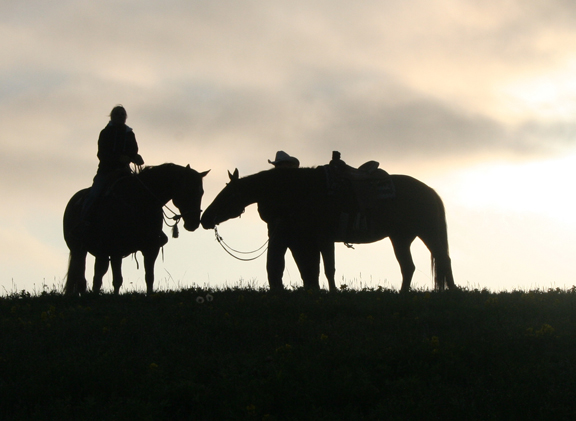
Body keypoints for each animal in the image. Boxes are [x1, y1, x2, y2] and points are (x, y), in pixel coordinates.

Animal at [64, 162, 208, 294]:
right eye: (188, 190)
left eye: (201, 192)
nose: (194, 223)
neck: (139, 201)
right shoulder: (116, 250)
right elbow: (117, 280)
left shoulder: (151, 248)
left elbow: (149, 277)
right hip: (79, 249)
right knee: (83, 278)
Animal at [200, 165, 456, 292]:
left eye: (227, 194)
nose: (205, 218)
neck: (302, 191)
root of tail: (430, 191)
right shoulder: (311, 240)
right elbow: (316, 269)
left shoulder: (321, 238)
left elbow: (326, 269)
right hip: (400, 238)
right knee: (409, 267)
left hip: (427, 233)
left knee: (443, 259)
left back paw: (453, 292)